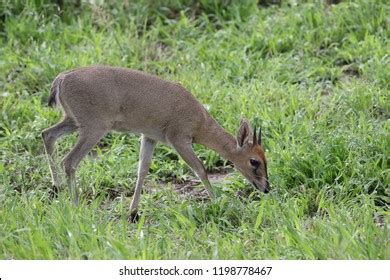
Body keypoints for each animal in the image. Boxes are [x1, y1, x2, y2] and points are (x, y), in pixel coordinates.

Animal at [42, 66, 268, 219]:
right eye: (254, 161)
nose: (266, 188)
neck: (199, 120)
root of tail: (63, 78)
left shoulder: (149, 137)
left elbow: (142, 169)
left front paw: (133, 212)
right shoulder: (180, 140)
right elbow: (200, 169)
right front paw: (217, 202)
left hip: (72, 121)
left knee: (47, 134)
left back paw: (56, 188)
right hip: (92, 129)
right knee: (69, 161)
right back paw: (75, 204)